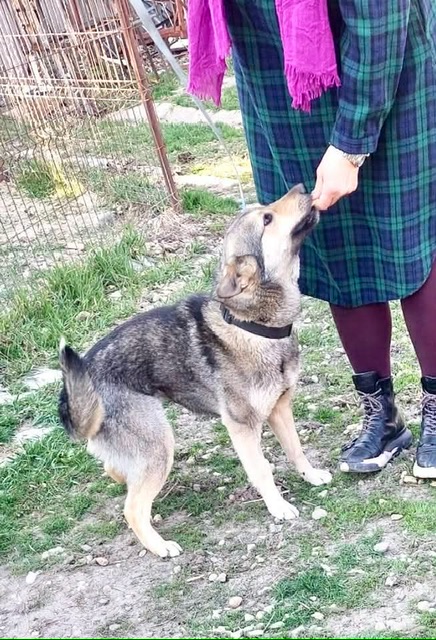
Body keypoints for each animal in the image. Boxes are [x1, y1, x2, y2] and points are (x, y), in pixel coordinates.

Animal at [58, 184, 332, 559]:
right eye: (267, 219)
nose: (304, 187)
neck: (254, 326)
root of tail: (79, 384)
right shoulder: (242, 427)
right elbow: (261, 469)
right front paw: (277, 506)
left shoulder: (280, 408)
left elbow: (296, 448)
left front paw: (311, 475)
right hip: (159, 443)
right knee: (132, 508)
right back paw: (159, 545)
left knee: (114, 469)